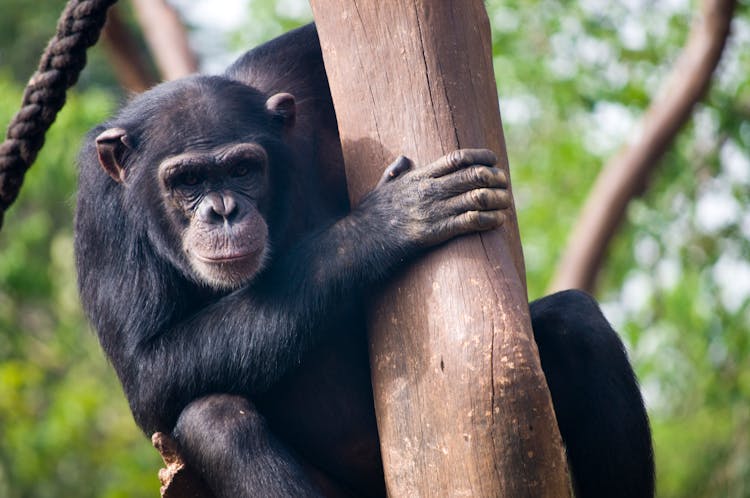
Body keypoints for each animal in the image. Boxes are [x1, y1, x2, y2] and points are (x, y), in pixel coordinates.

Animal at [73, 22, 656, 498]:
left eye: (242, 169)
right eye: (188, 180)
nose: (222, 211)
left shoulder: (288, 76)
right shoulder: (99, 214)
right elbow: (148, 369)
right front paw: (384, 225)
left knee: (576, 323)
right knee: (214, 421)